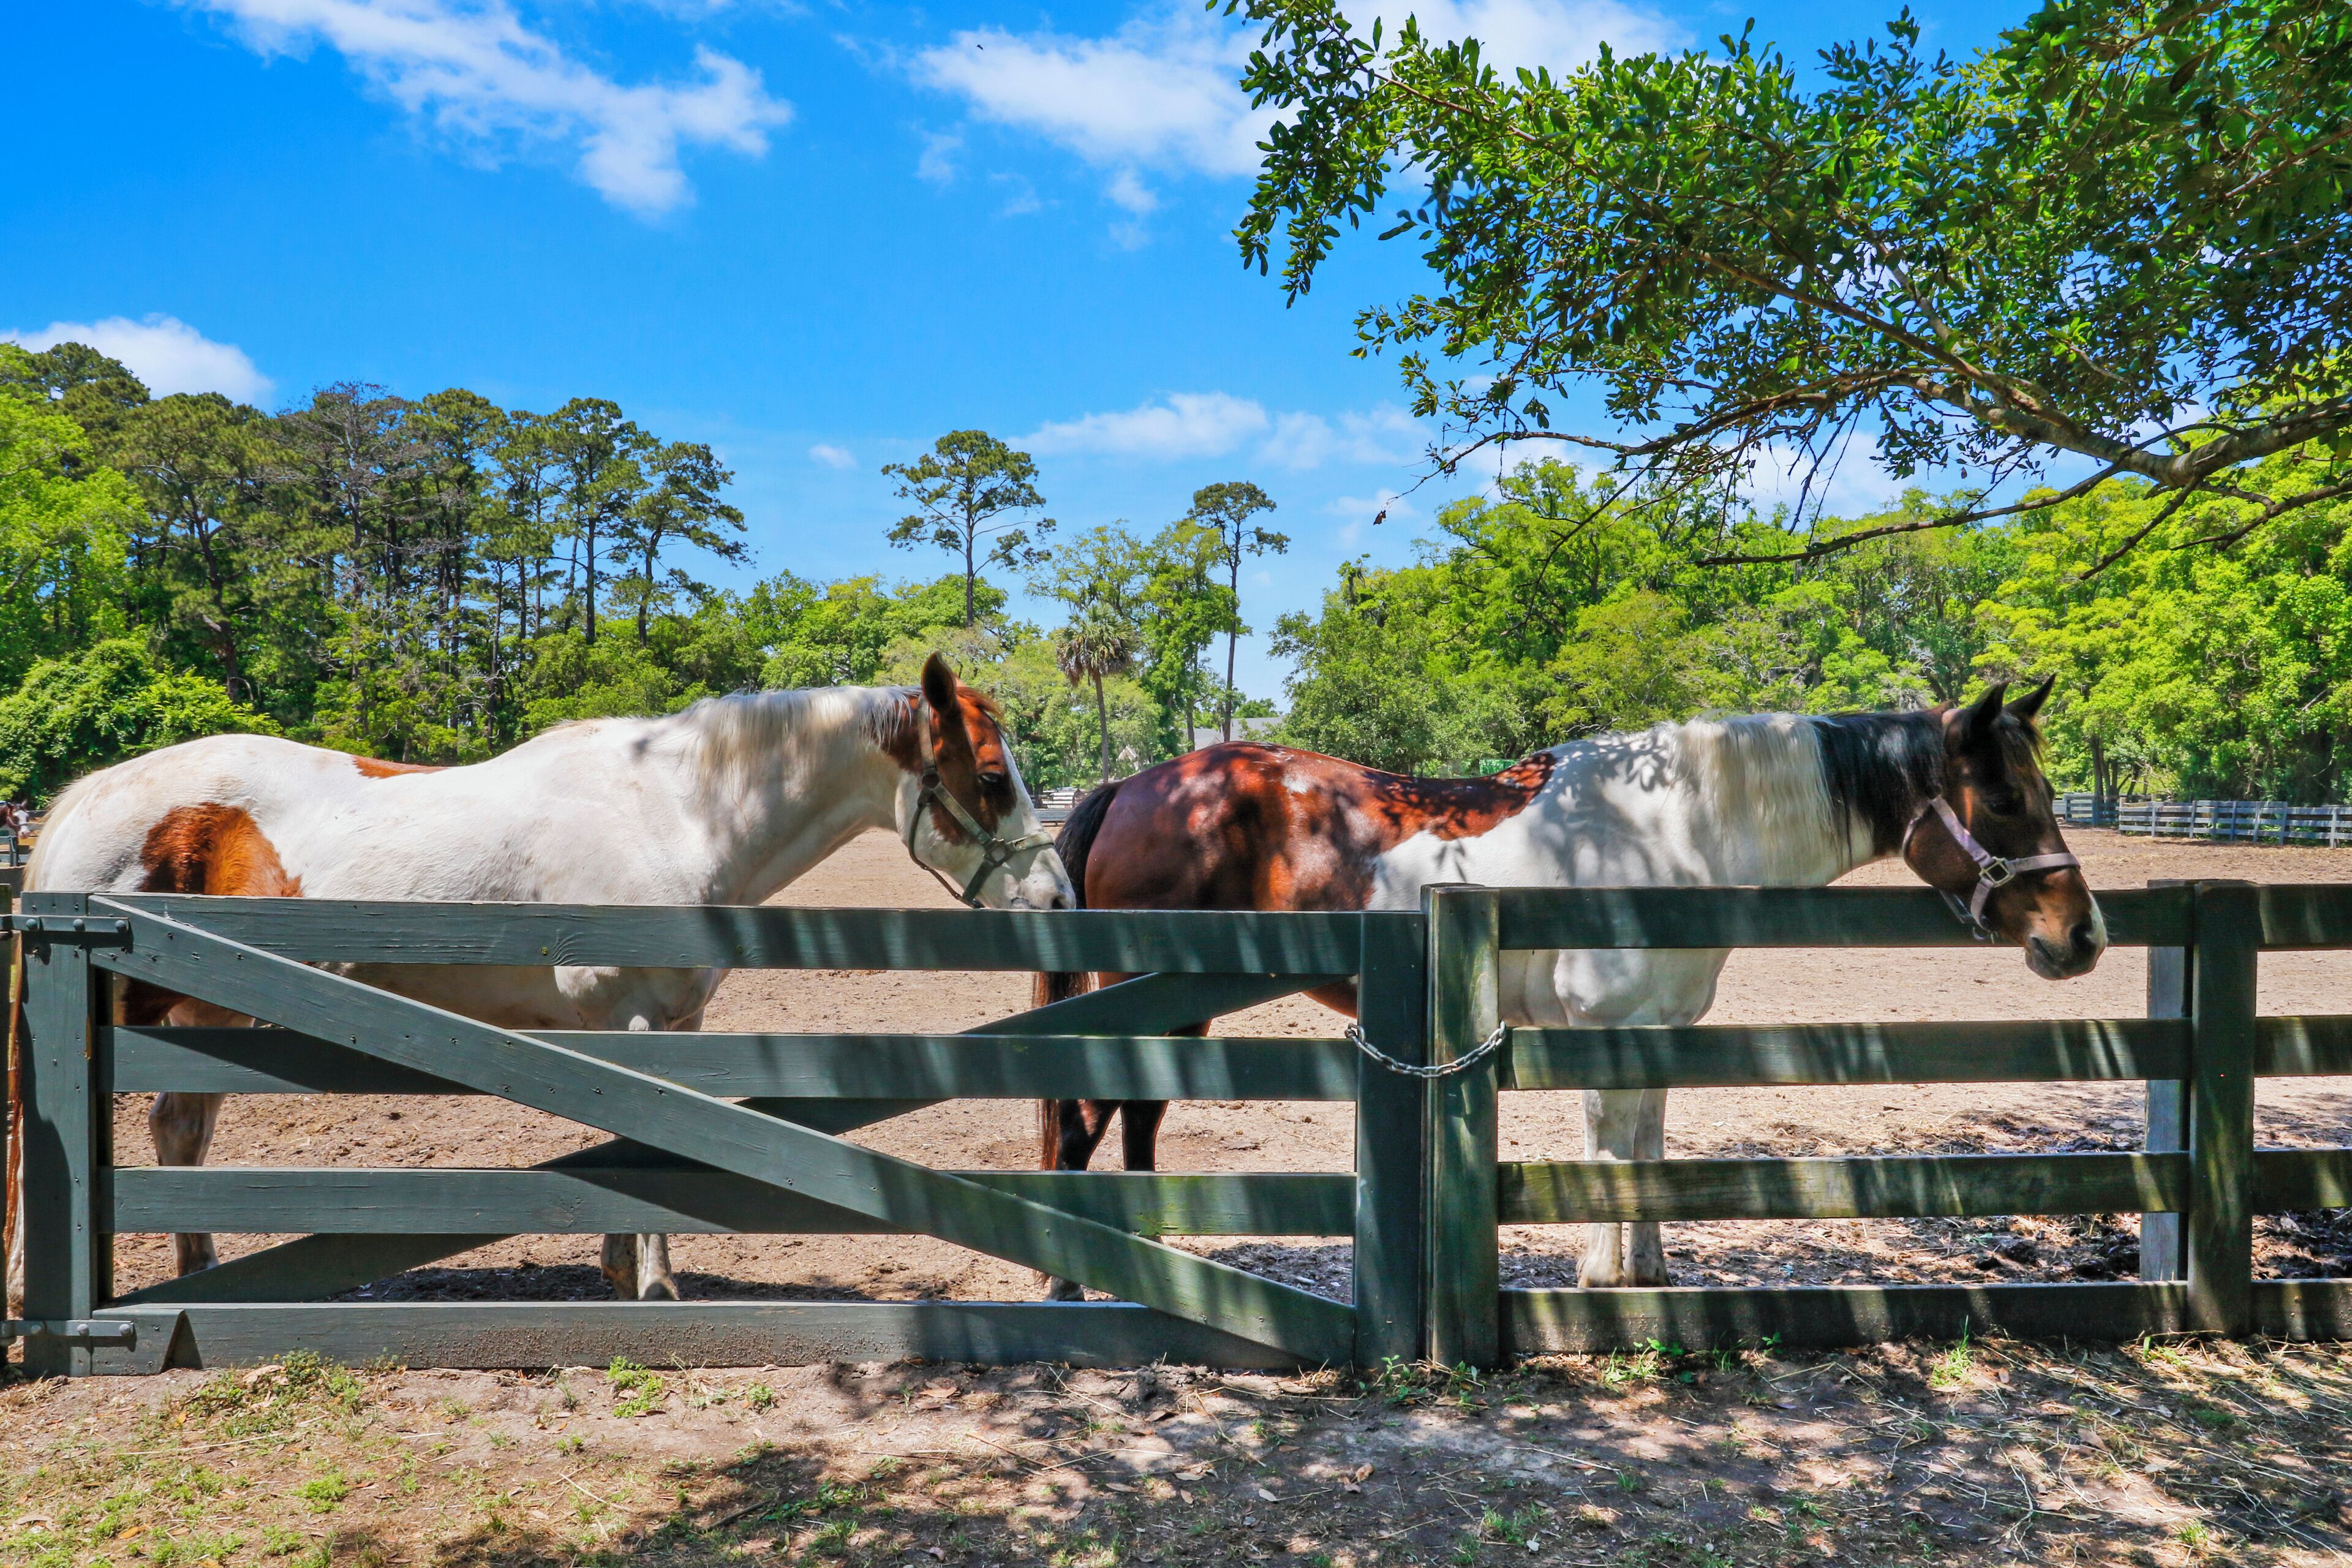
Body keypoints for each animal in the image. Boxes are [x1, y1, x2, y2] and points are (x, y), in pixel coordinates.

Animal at [7, 654, 1071, 1310]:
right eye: (990, 778)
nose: (1058, 897)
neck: (674, 814)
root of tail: (83, 803)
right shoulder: (632, 1021)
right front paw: (655, 1287)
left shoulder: (675, 1026)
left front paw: (622, 1266)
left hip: (204, 1011)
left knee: (178, 1133)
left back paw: (205, 1276)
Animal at [1035, 680, 2103, 1294]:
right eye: (2003, 796)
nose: (2082, 935)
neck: (1676, 833)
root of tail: (1131, 786)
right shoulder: (1606, 1028)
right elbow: (1607, 1156)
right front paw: (1599, 1279)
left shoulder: (1661, 1031)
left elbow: (1649, 1153)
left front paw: (1650, 1273)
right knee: (1090, 1125)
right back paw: (1084, 1284)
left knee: (1133, 1120)